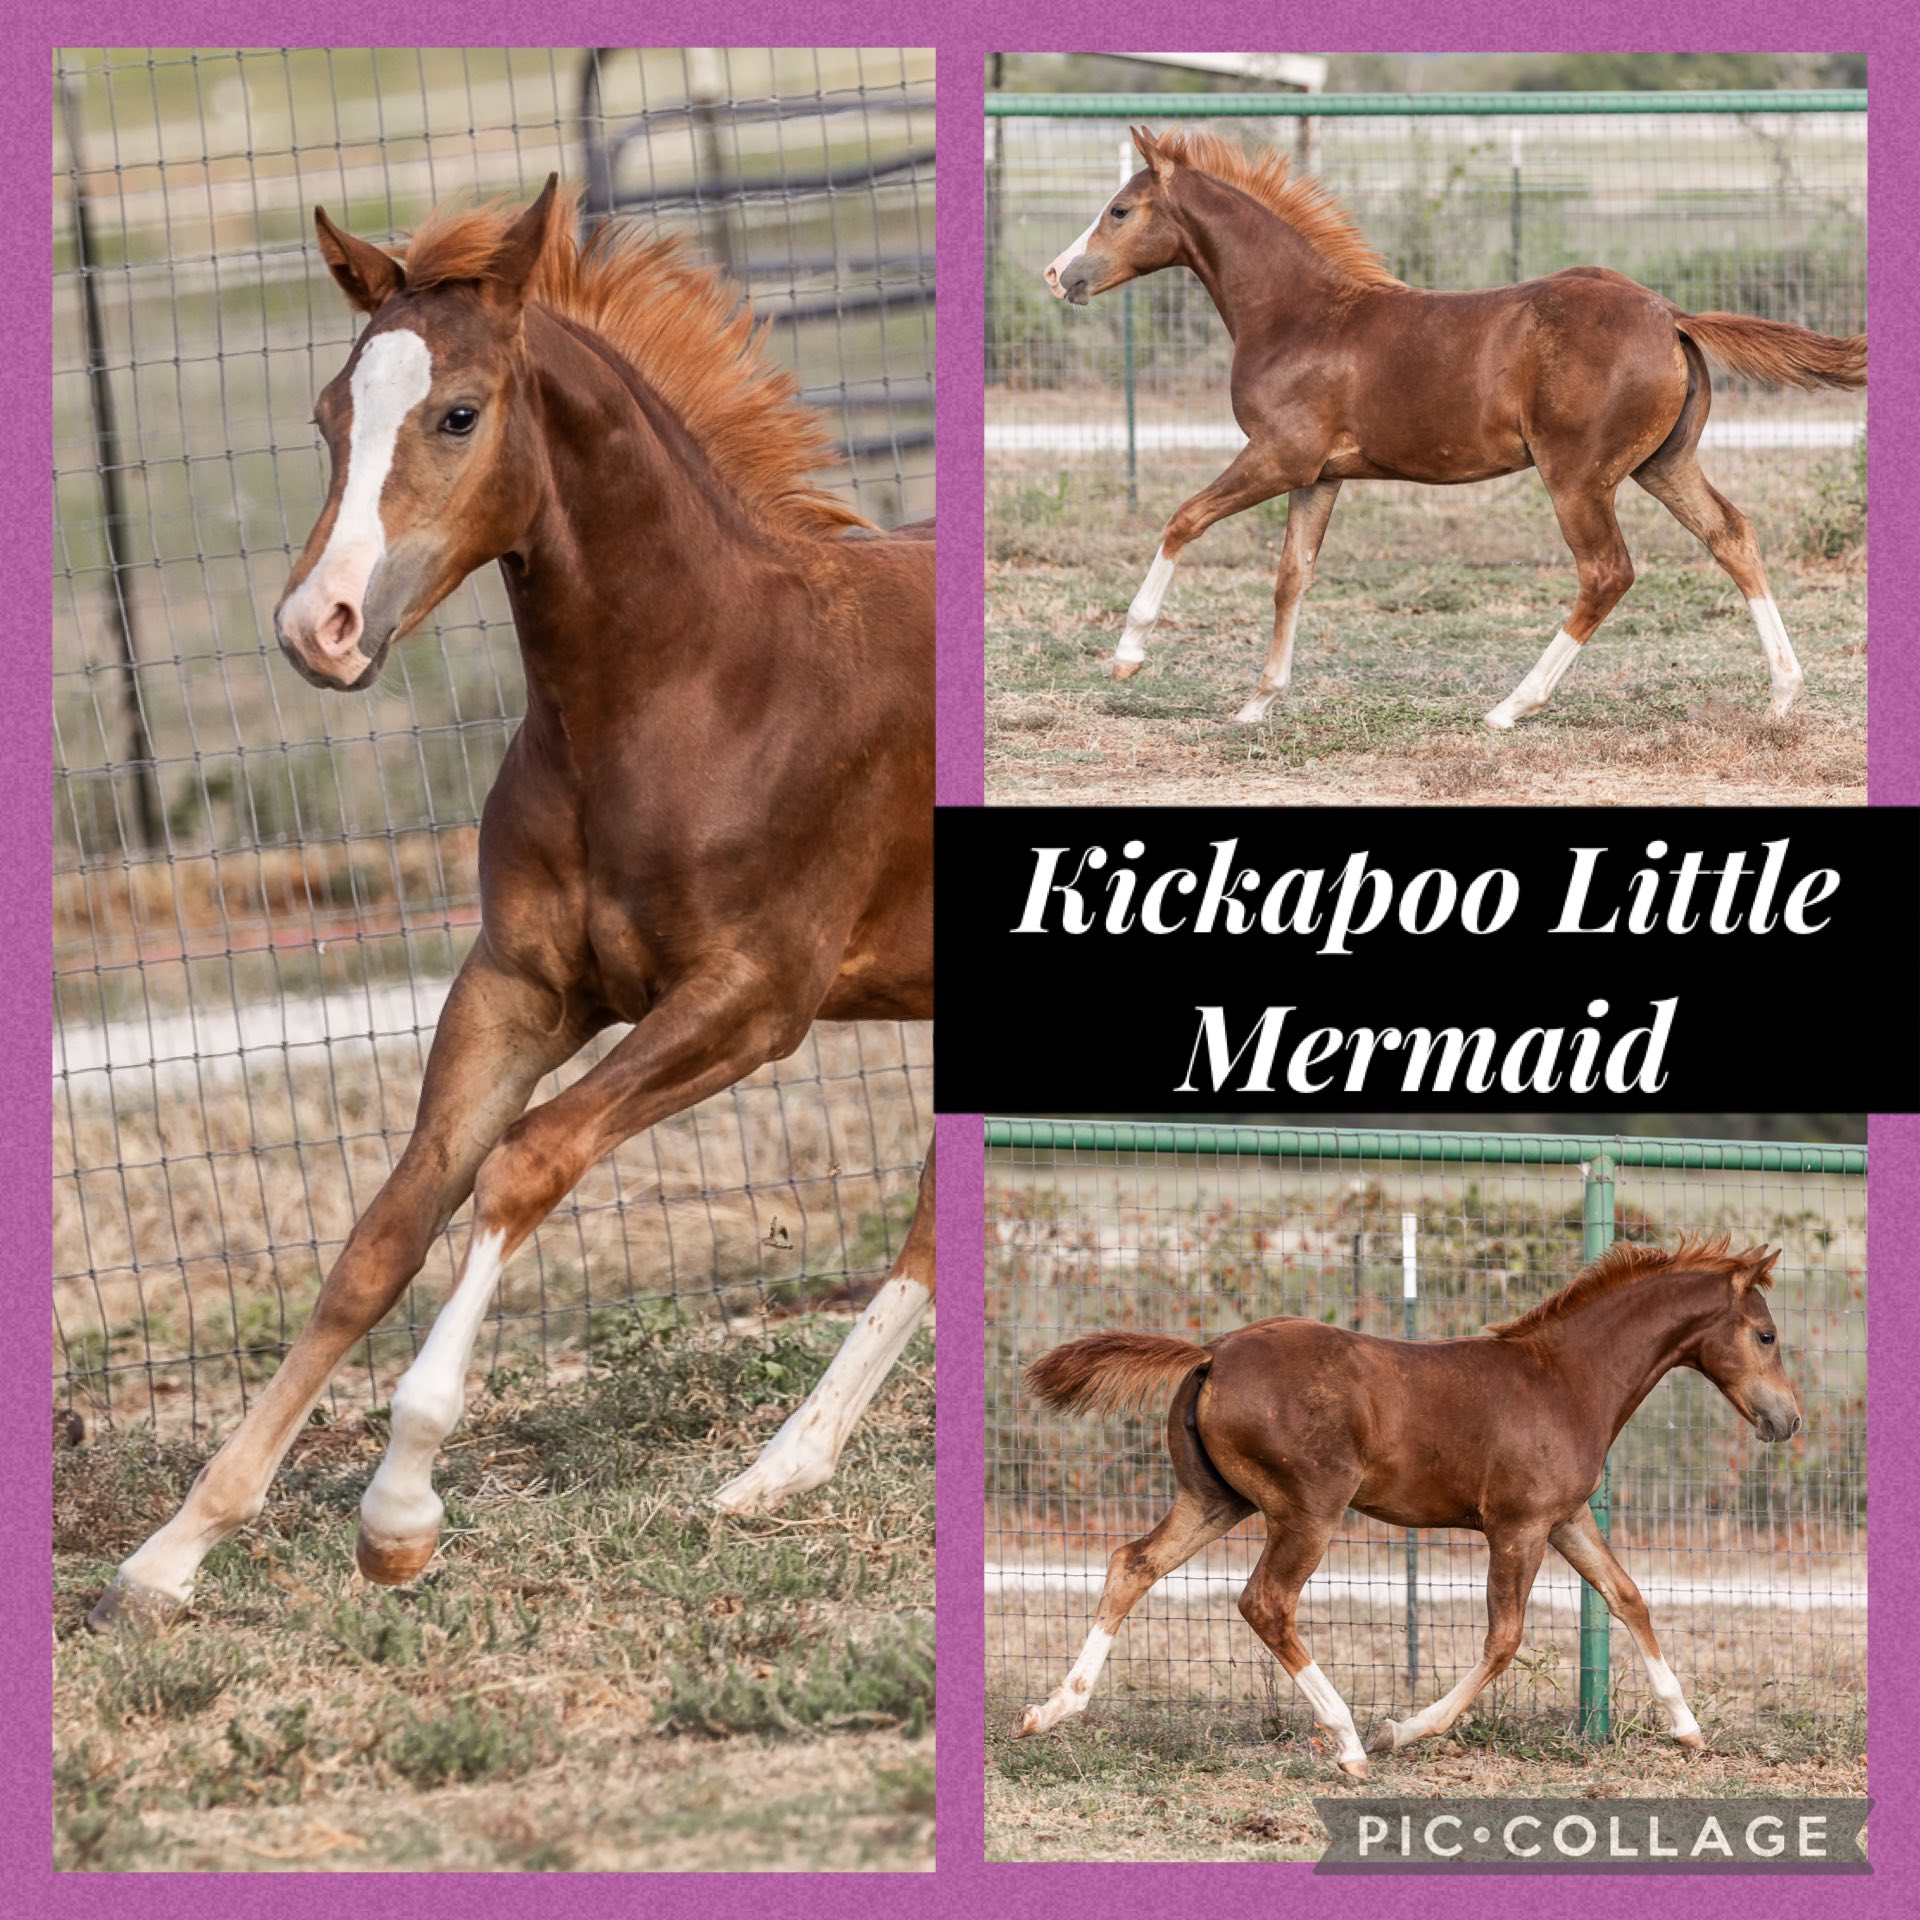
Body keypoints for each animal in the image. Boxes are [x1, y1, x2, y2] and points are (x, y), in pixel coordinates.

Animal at [89, 176, 935, 1627]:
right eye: (328, 415)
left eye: (458, 413)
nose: (317, 626)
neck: (701, 688)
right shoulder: (518, 988)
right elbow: (387, 1228)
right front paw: (173, 1553)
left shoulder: (753, 999)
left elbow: (527, 1163)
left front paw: (398, 1513)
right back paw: (783, 1471)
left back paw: (781, 1464)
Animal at [1013, 1235, 1802, 1776]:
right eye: (1765, 1334)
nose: (1787, 1420)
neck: (1566, 1380)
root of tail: (1212, 1352)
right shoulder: (1517, 1527)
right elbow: (1504, 1640)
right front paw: (1403, 1729)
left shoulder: (1566, 1519)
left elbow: (1628, 1597)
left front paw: (1688, 1728)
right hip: (1309, 1510)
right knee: (1265, 1601)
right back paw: (1350, 1743)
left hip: (1217, 1501)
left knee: (1133, 1563)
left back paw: (1051, 1711)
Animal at [1043, 126, 1866, 731]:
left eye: (1119, 210)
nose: (1057, 275)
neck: (1299, 314)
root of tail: (1671, 314)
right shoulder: (1321, 476)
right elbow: (1290, 577)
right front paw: (1257, 703)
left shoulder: (1279, 456)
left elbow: (1183, 521)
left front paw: (1127, 654)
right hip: (1661, 464)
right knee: (1733, 536)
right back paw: (1784, 693)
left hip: (1577, 477)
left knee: (1607, 572)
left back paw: (1510, 707)